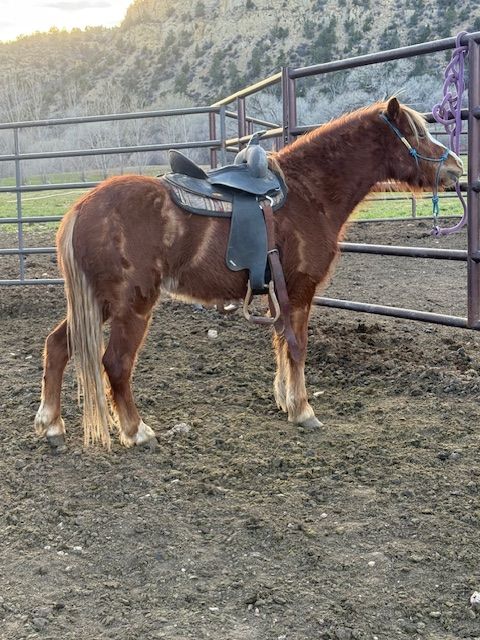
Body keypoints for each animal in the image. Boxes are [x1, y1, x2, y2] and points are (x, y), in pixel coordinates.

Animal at [34, 97, 463, 449]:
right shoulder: (301, 291)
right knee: (116, 364)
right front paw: (303, 410)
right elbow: (297, 347)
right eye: (417, 133)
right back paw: (137, 431)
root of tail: (83, 207)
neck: (309, 194)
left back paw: (51, 424)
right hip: (130, 304)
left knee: (57, 346)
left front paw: (285, 400)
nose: (456, 167)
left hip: (99, 302)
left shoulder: (280, 294)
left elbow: (281, 345)